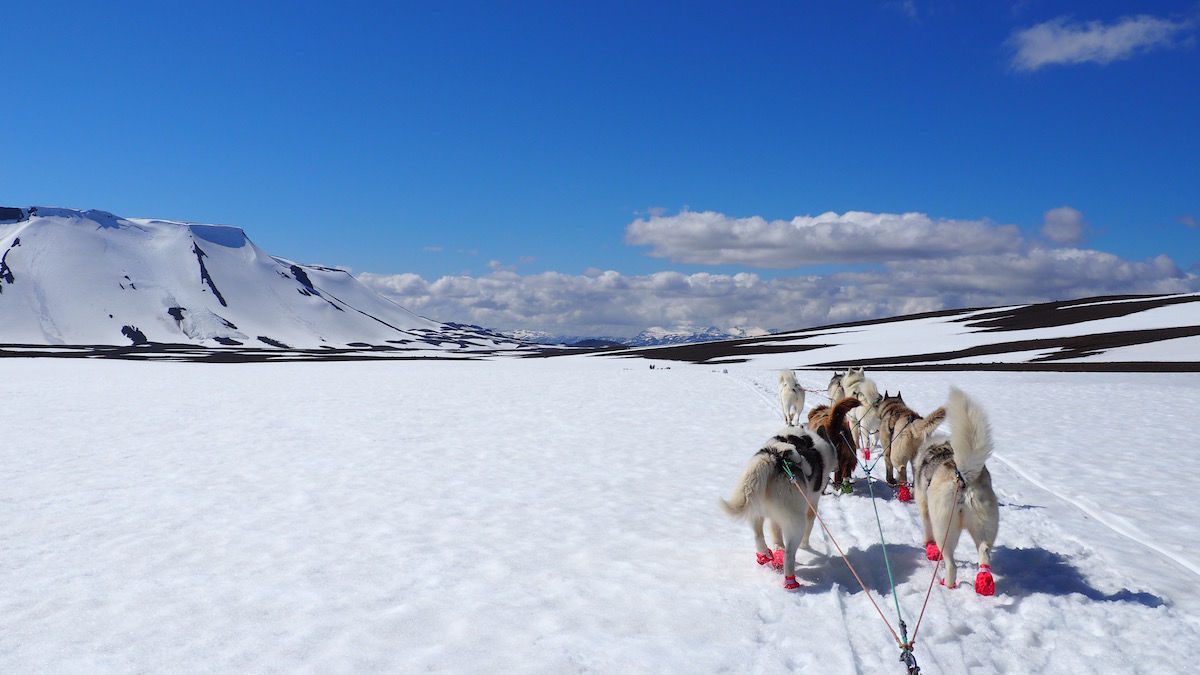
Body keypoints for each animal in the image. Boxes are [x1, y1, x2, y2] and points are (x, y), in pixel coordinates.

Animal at [720, 425, 835, 588]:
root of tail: (773, 458)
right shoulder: (812, 502)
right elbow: (810, 525)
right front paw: (806, 547)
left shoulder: (774, 519)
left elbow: (775, 534)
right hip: (796, 522)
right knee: (789, 554)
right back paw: (790, 580)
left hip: (756, 506)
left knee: (758, 535)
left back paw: (765, 555)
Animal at [912, 386, 998, 590]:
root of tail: (963, 478)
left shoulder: (924, 508)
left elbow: (926, 531)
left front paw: (927, 546)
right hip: (985, 526)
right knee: (984, 553)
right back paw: (984, 583)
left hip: (944, 530)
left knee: (951, 564)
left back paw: (947, 583)